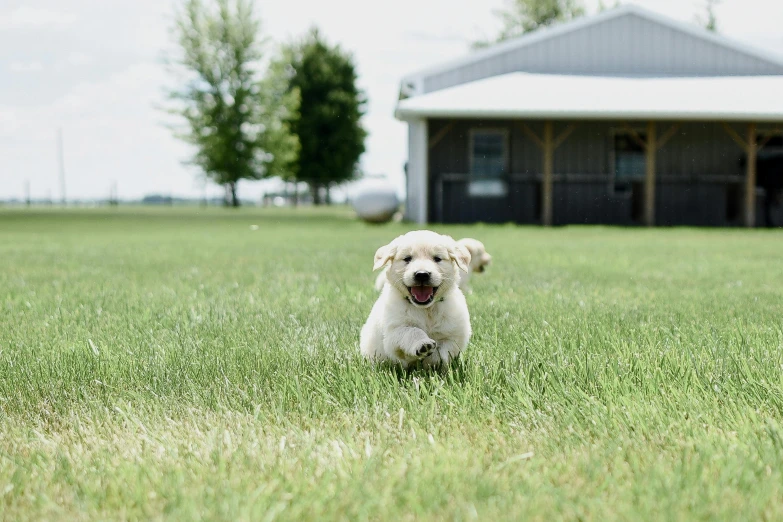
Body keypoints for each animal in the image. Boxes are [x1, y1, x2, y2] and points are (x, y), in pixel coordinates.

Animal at [362, 230, 472, 368]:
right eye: (407, 259)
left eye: (437, 259)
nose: (422, 274)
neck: (426, 309)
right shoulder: (393, 333)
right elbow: (411, 331)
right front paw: (423, 345)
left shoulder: (455, 334)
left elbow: (442, 352)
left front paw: (432, 363)